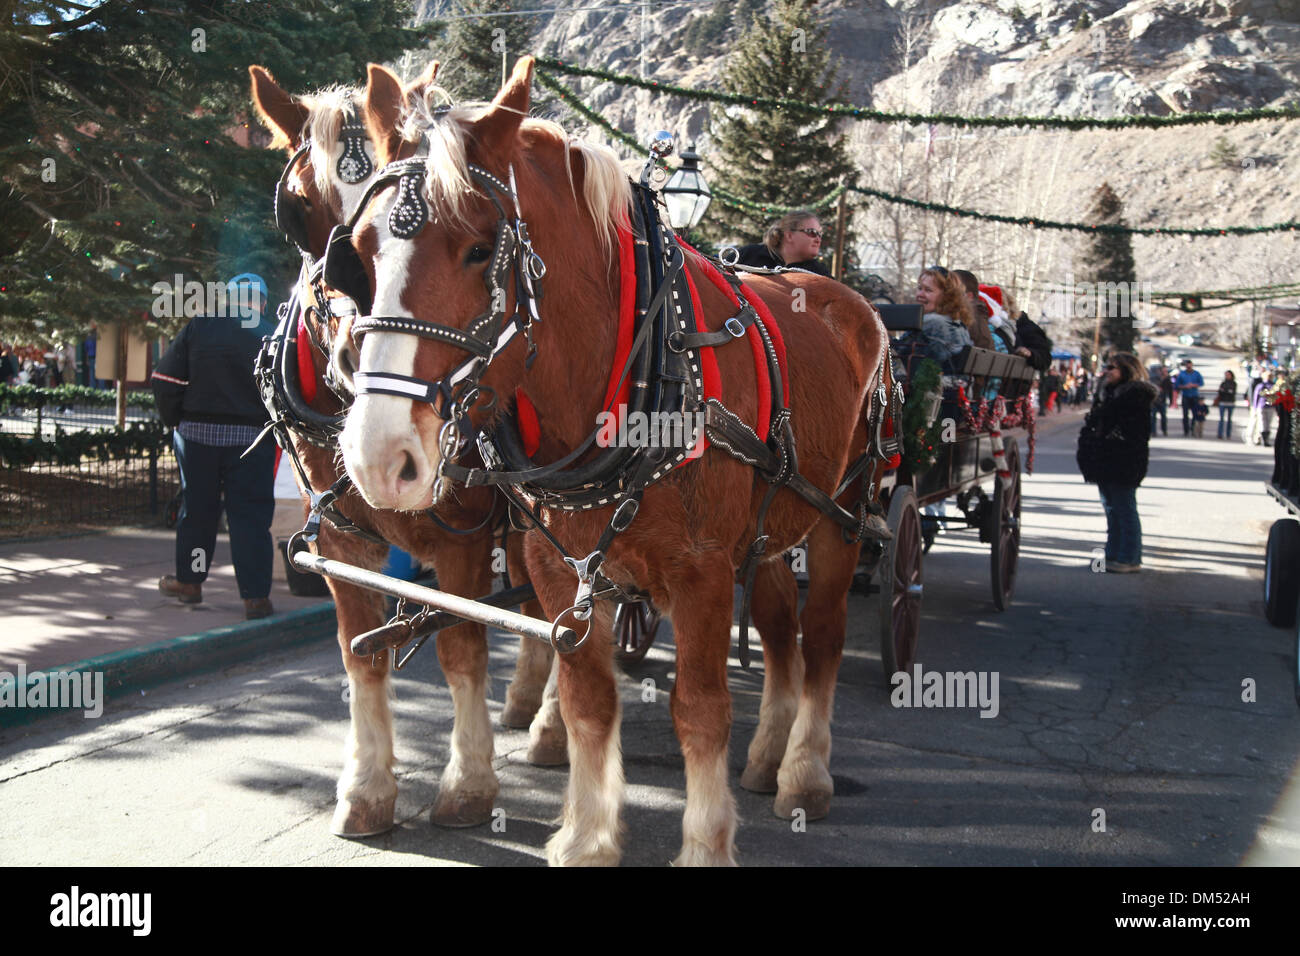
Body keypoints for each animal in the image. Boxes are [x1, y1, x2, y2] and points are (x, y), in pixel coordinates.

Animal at [248, 63, 564, 837]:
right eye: (297, 212)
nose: (347, 358)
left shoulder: (462, 538)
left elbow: (461, 645)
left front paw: (469, 785)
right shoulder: (340, 538)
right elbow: (360, 657)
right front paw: (365, 789)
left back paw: (547, 726)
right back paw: (527, 704)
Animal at [330, 57, 889, 868]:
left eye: (479, 248)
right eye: (362, 251)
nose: (380, 457)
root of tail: (840, 292)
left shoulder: (701, 569)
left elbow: (700, 708)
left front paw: (705, 844)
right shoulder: (559, 566)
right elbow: (588, 702)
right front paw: (588, 837)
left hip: (842, 515)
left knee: (820, 638)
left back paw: (804, 774)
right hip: (771, 525)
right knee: (780, 629)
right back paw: (766, 756)